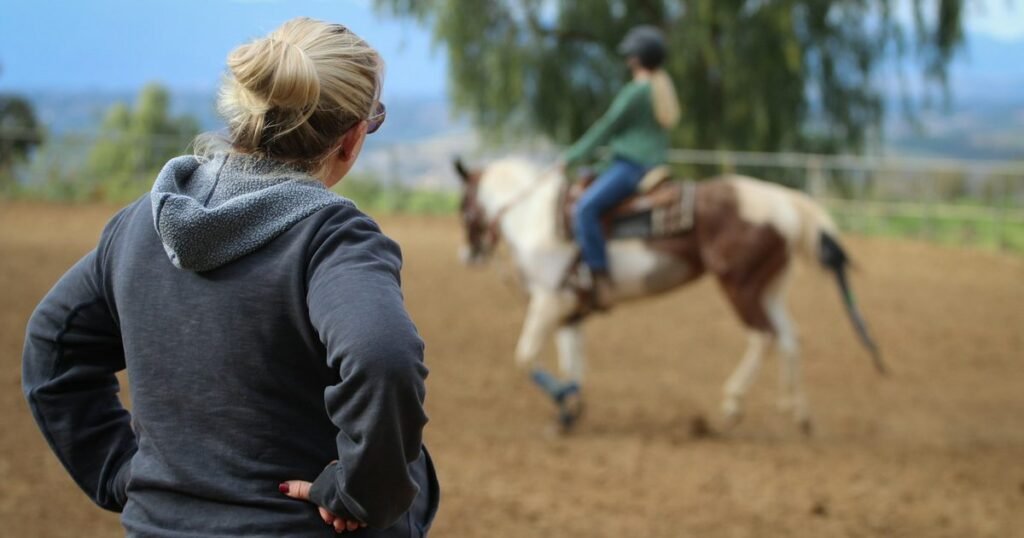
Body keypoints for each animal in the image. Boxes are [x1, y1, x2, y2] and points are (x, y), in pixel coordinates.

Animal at [454, 156, 884, 434]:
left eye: (463, 205)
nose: (468, 254)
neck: (533, 217)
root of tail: (787, 202)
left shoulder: (548, 299)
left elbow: (526, 357)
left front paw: (565, 398)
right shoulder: (570, 308)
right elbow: (572, 360)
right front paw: (569, 411)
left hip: (740, 286)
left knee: (763, 336)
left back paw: (733, 404)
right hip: (769, 288)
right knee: (790, 338)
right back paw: (797, 413)